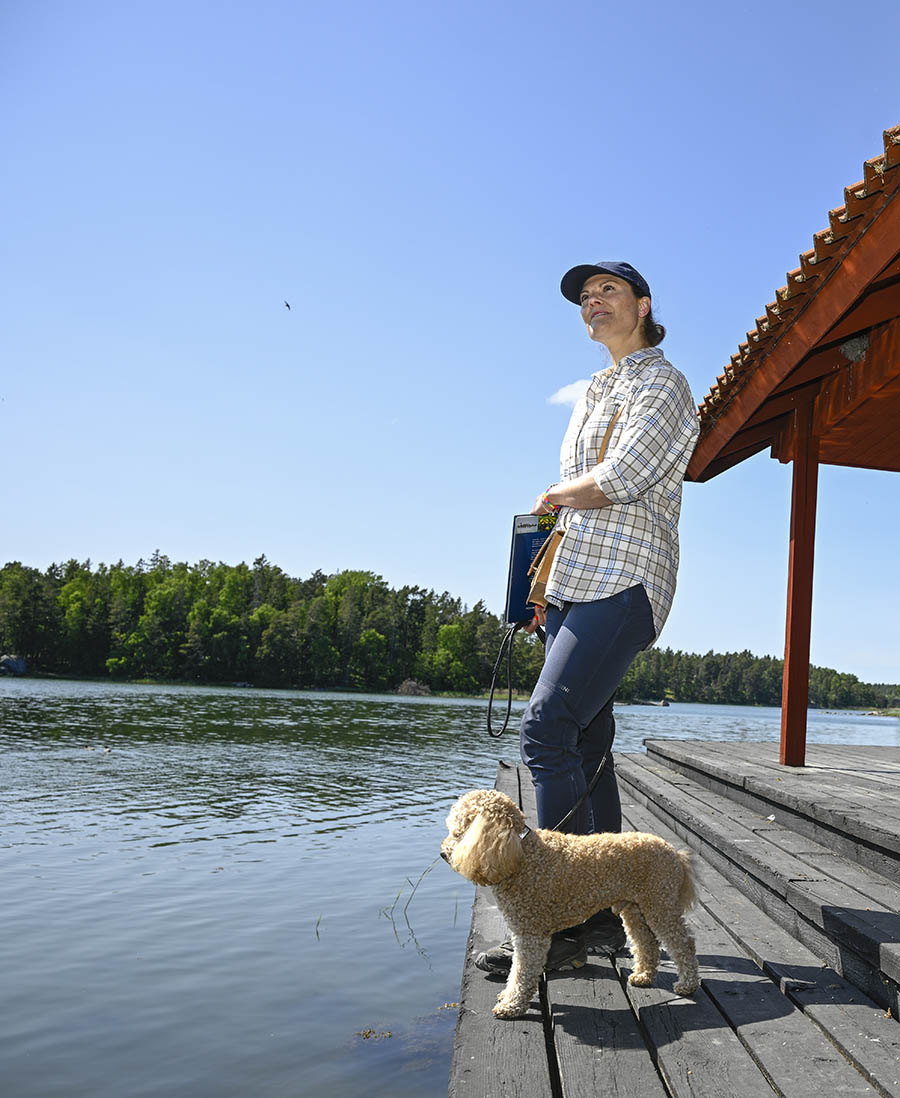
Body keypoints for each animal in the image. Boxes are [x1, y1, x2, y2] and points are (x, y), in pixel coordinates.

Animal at [439, 790, 698, 1018]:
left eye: (459, 832)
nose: (442, 853)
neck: (522, 852)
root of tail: (675, 853)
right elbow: (517, 972)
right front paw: (508, 997)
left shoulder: (529, 933)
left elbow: (521, 972)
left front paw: (513, 1005)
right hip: (635, 909)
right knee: (647, 942)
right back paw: (643, 976)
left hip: (660, 904)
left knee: (683, 944)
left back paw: (687, 984)